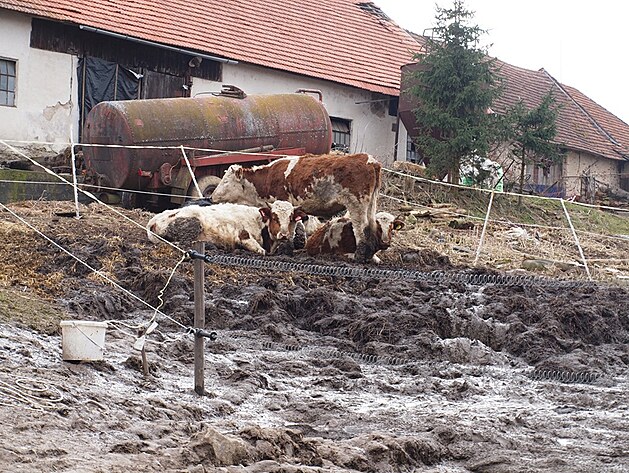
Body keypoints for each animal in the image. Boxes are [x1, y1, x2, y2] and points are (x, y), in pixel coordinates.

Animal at [146, 201, 306, 256]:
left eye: (291, 217)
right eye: (274, 216)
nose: (283, 235)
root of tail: (154, 220)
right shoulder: (244, 236)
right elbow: (261, 251)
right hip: (193, 226)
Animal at [211, 153, 380, 262]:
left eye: (225, 181)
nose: (211, 197)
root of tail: (371, 161)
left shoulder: (284, 203)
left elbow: (289, 229)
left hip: (357, 205)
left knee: (361, 230)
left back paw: (359, 257)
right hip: (371, 205)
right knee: (372, 227)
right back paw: (372, 257)